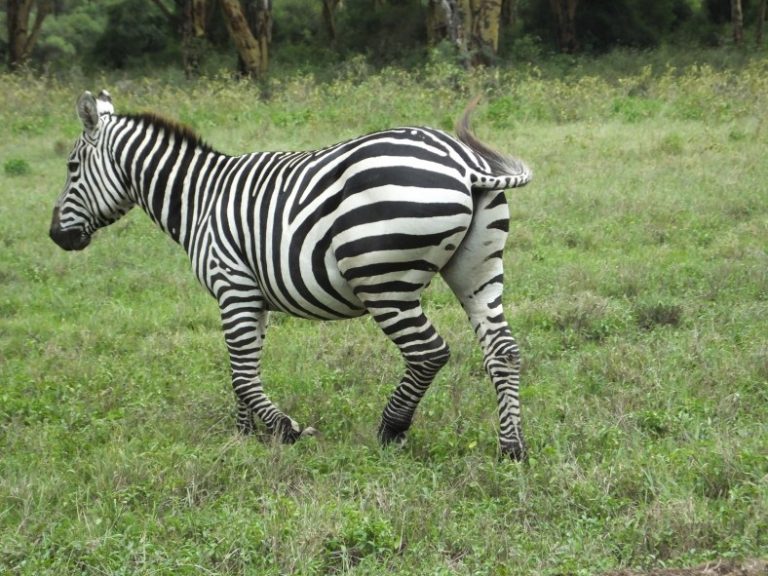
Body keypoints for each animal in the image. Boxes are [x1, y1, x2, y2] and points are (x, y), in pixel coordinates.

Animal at [50, 90, 533, 459]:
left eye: (72, 168)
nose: (56, 235)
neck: (199, 200)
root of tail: (462, 162)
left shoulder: (232, 287)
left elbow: (242, 376)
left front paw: (287, 430)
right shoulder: (251, 297)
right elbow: (244, 369)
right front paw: (244, 436)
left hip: (382, 281)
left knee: (429, 353)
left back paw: (390, 430)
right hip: (477, 270)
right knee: (503, 350)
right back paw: (511, 447)